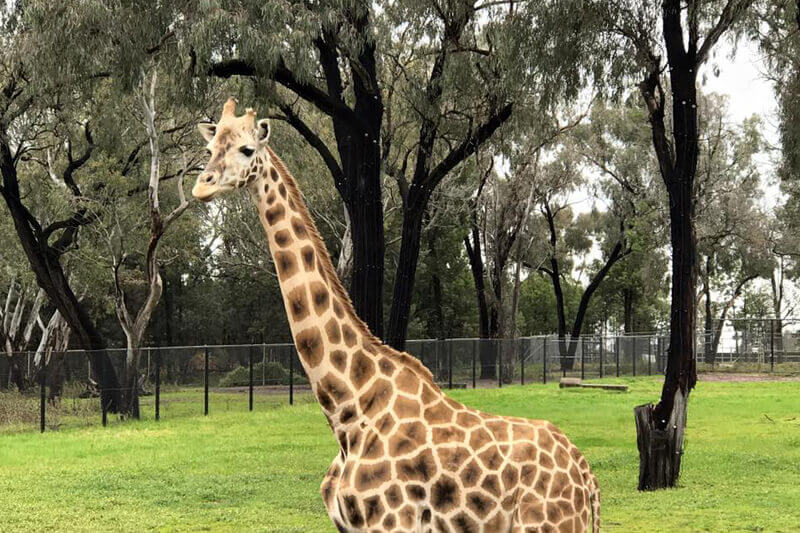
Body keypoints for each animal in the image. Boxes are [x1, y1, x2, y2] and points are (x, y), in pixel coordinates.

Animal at [191, 97, 596, 528]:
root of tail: (586, 476)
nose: (203, 185)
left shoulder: (391, 521)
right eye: (209, 147)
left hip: (547, 524)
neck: (349, 409)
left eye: (247, 149)